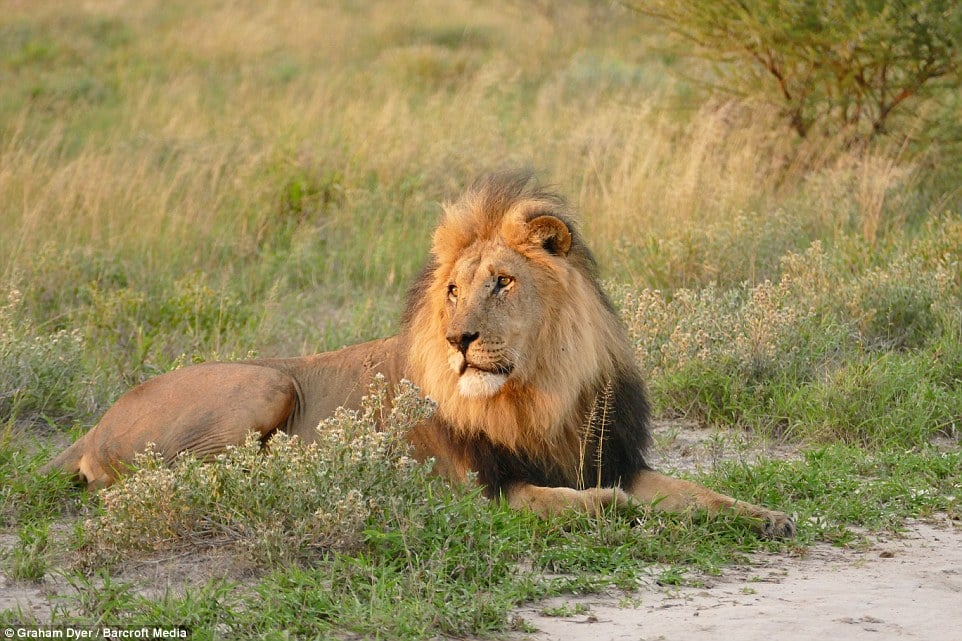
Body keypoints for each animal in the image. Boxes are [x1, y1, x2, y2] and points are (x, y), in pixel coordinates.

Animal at [45, 168, 796, 536]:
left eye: (503, 282)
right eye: (453, 290)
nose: (460, 339)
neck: (543, 390)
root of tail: (95, 422)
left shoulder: (610, 456)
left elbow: (697, 493)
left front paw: (769, 516)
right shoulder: (488, 489)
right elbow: (583, 502)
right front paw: (617, 513)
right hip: (264, 384)